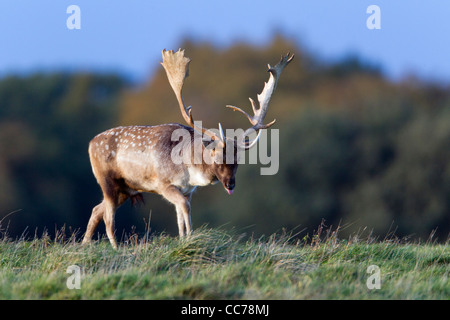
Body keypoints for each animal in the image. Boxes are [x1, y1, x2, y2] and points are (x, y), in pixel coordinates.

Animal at [82, 48, 294, 249]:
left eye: (238, 161)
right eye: (216, 157)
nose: (230, 184)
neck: (188, 168)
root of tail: (90, 143)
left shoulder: (187, 190)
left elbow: (181, 215)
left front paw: (185, 238)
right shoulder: (164, 184)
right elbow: (184, 208)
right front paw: (191, 238)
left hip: (126, 189)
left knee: (96, 210)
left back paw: (84, 244)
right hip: (107, 180)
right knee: (108, 218)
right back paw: (115, 247)